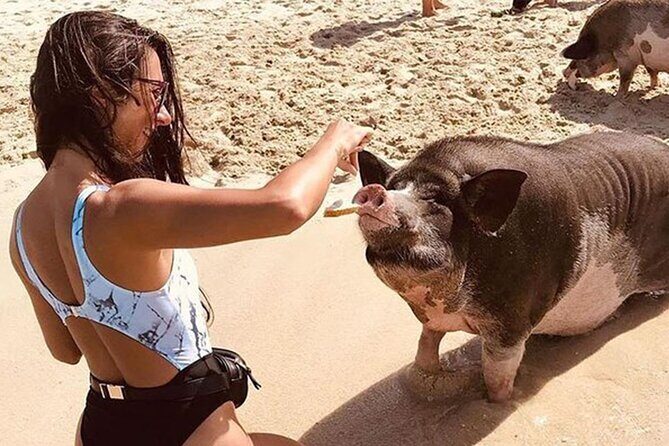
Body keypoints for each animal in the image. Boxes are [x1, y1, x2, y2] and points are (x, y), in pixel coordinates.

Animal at [354, 131, 669, 402]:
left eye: (435, 199)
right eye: (394, 187)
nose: (374, 190)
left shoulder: (513, 319)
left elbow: (497, 377)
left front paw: (496, 403)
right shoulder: (435, 317)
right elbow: (426, 344)